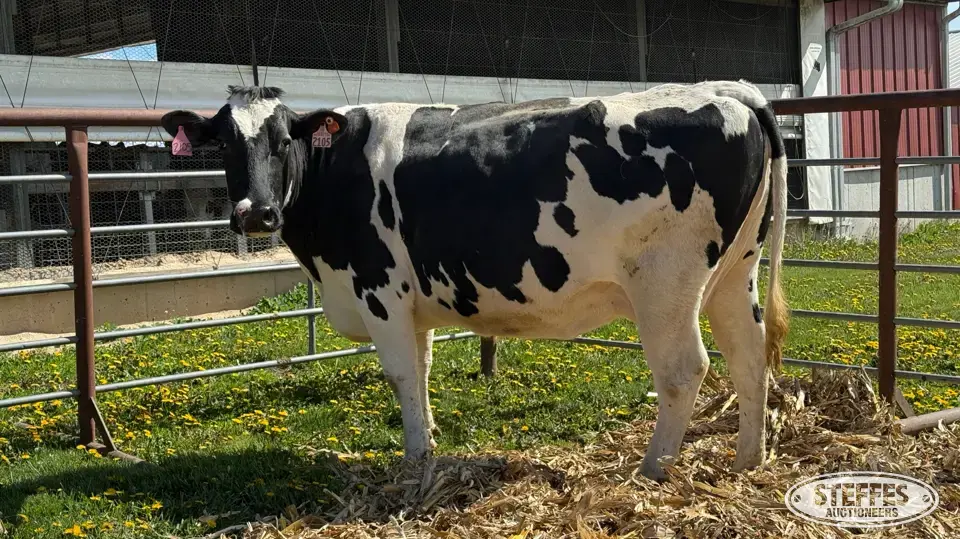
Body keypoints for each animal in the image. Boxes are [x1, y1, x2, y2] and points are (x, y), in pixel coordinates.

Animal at [161, 79, 789, 480]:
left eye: (284, 138)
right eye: (224, 142)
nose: (256, 214)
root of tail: (730, 92)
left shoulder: (378, 288)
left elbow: (400, 373)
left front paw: (415, 460)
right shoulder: (410, 303)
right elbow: (420, 371)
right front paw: (429, 444)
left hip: (665, 282)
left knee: (685, 369)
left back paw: (654, 469)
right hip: (737, 272)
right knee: (749, 354)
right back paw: (748, 460)